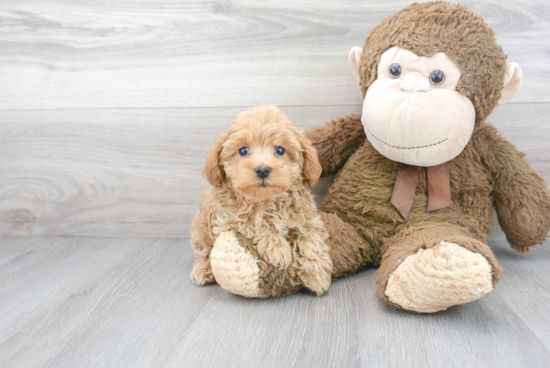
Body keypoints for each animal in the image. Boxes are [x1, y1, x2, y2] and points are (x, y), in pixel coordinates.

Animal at [190, 105, 332, 296]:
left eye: (280, 150)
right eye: (243, 150)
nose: (263, 169)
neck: (266, 200)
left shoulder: (306, 219)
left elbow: (310, 239)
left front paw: (317, 274)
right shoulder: (227, 219)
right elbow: (254, 223)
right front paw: (278, 249)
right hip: (201, 228)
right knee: (203, 253)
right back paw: (203, 270)